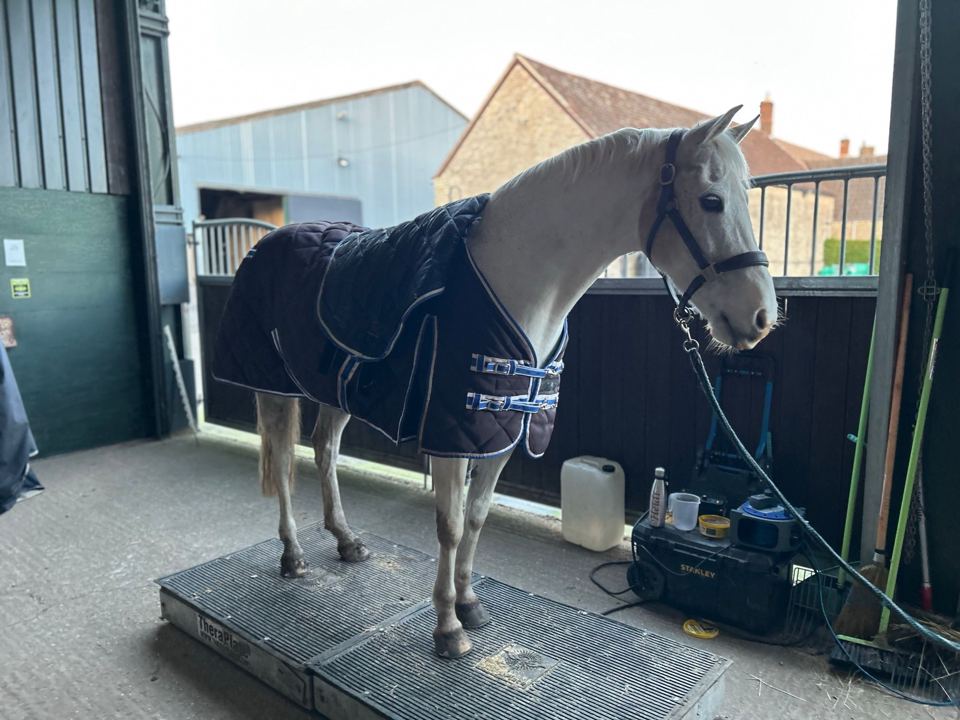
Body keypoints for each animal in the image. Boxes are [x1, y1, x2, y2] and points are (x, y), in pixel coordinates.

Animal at [223, 106, 777, 659]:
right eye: (711, 200)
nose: (762, 316)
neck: (514, 280)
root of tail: (266, 244)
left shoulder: (500, 433)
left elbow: (476, 516)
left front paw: (468, 604)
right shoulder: (452, 437)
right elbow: (449, 526)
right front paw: (448, 628)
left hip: (336, 391)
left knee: (325, 451)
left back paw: (345, 540)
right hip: (273, 390)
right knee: (285, 463)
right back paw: (293, 555)